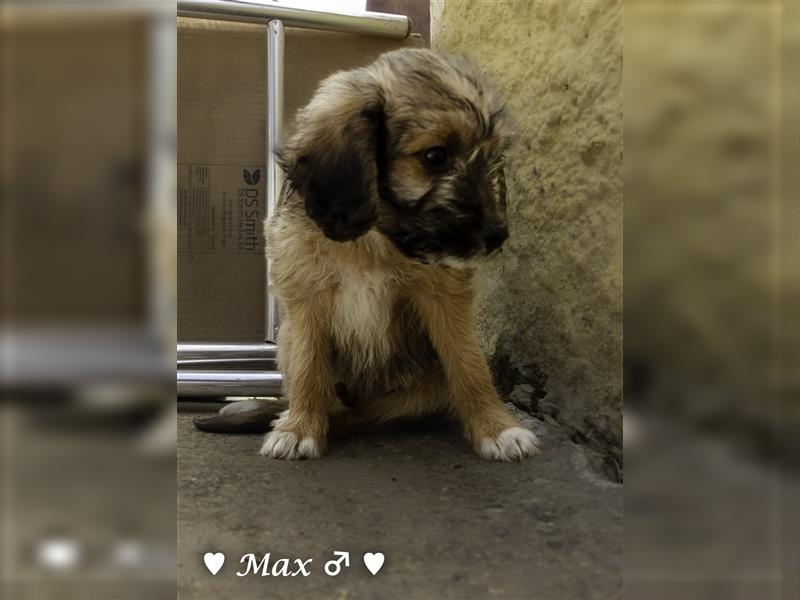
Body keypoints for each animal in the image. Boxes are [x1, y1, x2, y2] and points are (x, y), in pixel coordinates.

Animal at [198, 49, 540, 462]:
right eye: (435, 156)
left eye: (492, 158)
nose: (497, 235)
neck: (373, 238)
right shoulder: (305, 296)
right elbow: (309, 368)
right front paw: (299, 428)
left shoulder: (443, 294)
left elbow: (468, 363)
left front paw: (497, 428)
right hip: (288, 339)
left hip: (419, 392)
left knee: (365, 416)